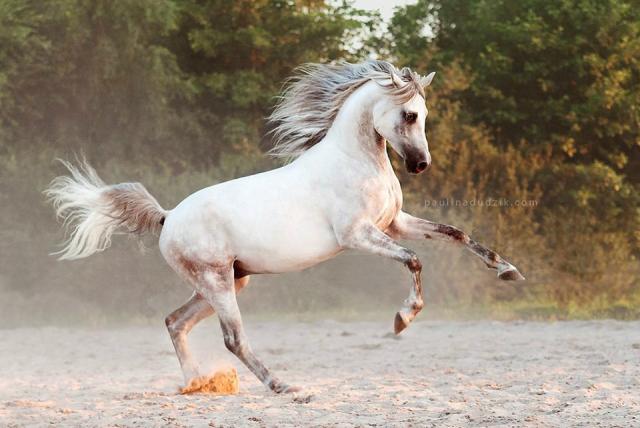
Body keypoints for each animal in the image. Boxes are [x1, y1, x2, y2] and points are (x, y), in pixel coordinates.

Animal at [46, 60, 524, 398]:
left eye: (423, 114)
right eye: (408, 114)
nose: (421, 164)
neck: (356, 162)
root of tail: (167, 218)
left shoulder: (395, 223)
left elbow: (456, 234)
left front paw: (508, 271)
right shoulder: (359, 236)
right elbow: (414, 260)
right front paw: (403, 318)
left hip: (230, 282)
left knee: (175, 322)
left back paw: (198, 384)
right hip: (217, 283)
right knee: (232, 339)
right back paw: (285, 387)